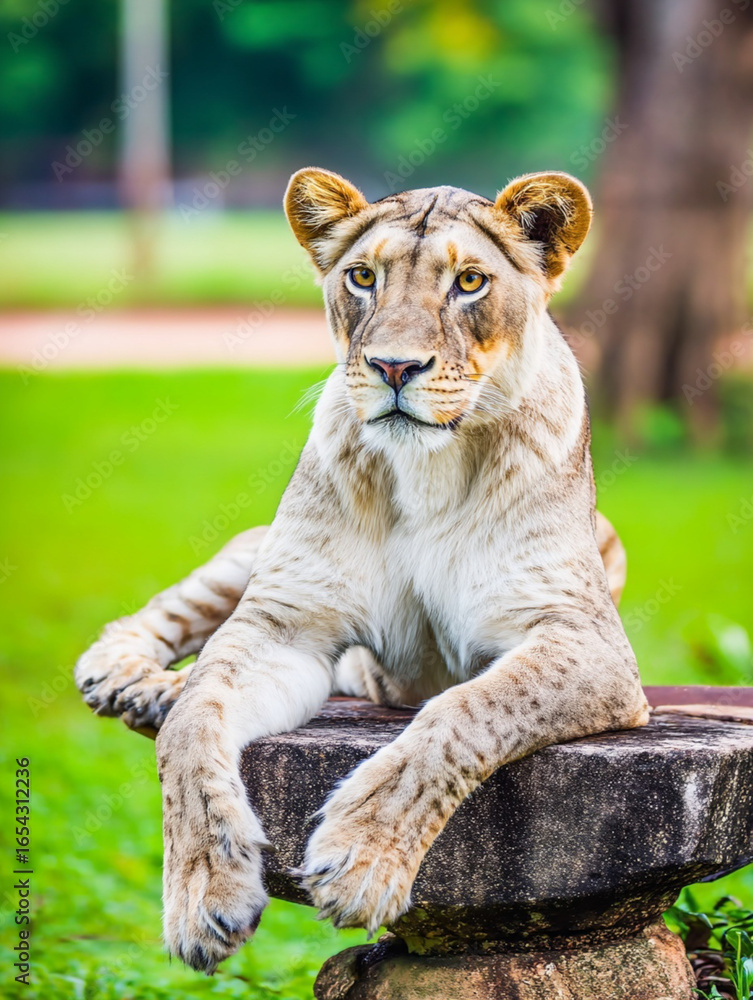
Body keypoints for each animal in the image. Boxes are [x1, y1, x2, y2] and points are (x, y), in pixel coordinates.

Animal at [75, 166, 648, 973]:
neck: (431, 466)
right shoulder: (282, 622)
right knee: (164, 624)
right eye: (363, 277)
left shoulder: (585, 640)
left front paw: (359, 862)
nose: (394, 367)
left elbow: (465, 712)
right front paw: (203, 897)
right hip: (251, 556)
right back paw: (134, 682)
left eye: (469, 281)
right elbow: (191, 733)